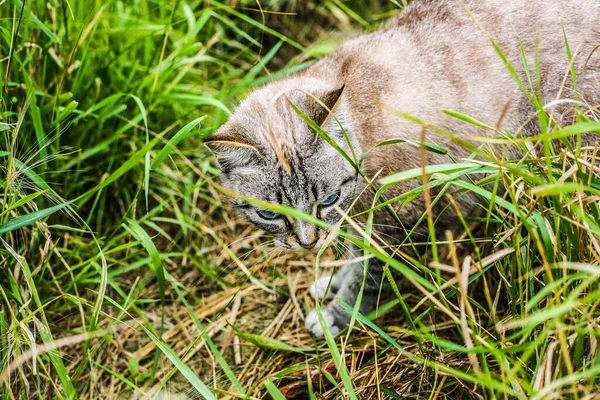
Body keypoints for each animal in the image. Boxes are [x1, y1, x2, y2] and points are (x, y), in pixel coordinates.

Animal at [206, 0, 600, 336]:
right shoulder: (360, 223)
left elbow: (367, 279)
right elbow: (351, 255)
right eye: (269, 214)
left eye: (328, 199)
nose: (307, 244)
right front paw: (334, 281)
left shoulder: (398, 227)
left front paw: (338, 314)